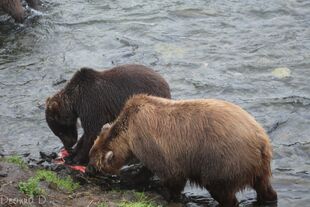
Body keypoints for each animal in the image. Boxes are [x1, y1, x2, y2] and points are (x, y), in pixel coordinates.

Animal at [88, 94, 278, 206]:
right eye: (91, 155)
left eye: (94, 163)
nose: (88, 169)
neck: (128, 135)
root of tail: (260, 140)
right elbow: (146, 170)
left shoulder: (153, 145)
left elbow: (171, 175)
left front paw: (168, 194)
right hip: (259, 166)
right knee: (264, 186)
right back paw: (269, 197)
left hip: (224, 160)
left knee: (222, 191)